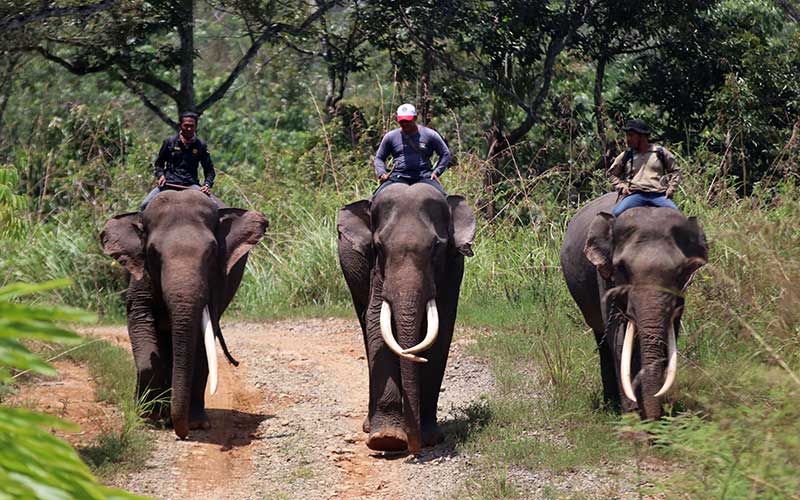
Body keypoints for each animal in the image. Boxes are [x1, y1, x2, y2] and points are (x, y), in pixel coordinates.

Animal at [338, 184, 476, 454]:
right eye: (379, 247)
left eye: (436, 247)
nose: (414, 447)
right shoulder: (378, 271)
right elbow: (376, 325)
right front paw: (387, 439)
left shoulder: (452, 268)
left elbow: (442, 330)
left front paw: (429, 438)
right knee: (364, 325)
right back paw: (371, 427)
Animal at [556, 193, 708, 420]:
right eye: (622, 268)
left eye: (680, 271)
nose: (654, 420)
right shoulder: (606, 279)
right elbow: (619, 338)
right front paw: (634, 418)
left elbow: (668, 335)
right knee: (603, 341)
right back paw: (610, 404)